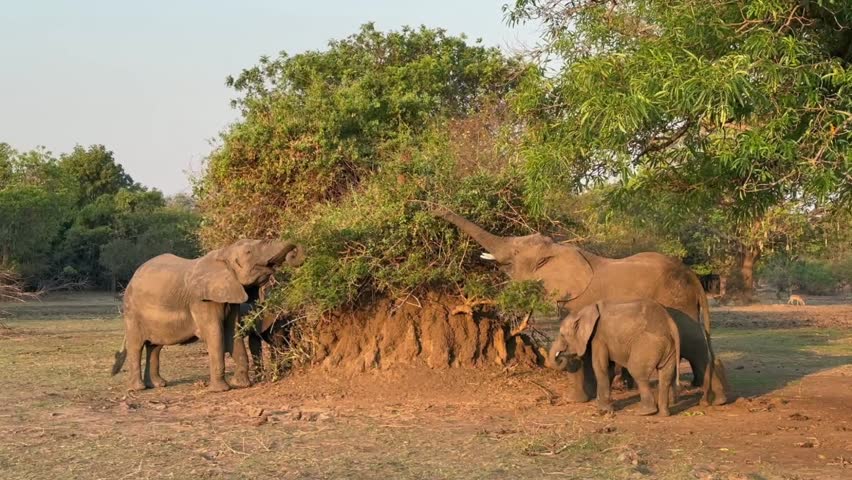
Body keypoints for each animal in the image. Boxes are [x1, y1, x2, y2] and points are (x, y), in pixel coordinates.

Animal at [111, 239, 305, 392]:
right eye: (249, 252)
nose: (294, 252)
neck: (223, 253)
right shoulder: (202, 300)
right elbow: (214, 333)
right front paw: (221, 390)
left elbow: (232, 332)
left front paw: (241, 385)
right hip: (132, 311)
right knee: (137, 346)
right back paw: (138, 388)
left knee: (155, 346)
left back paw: (158, 385)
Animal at [550, 299, 680, 416]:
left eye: (562, 335)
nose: (561, 356)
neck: (583, 311)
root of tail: (670, 323)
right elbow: (609, 369)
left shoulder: (599, 337)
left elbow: (600, 367)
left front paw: (603, 410)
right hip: (669, 347)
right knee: (665, 376)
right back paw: (664, 414)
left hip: (648, 343)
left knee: (638, 372)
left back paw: (645, 412)